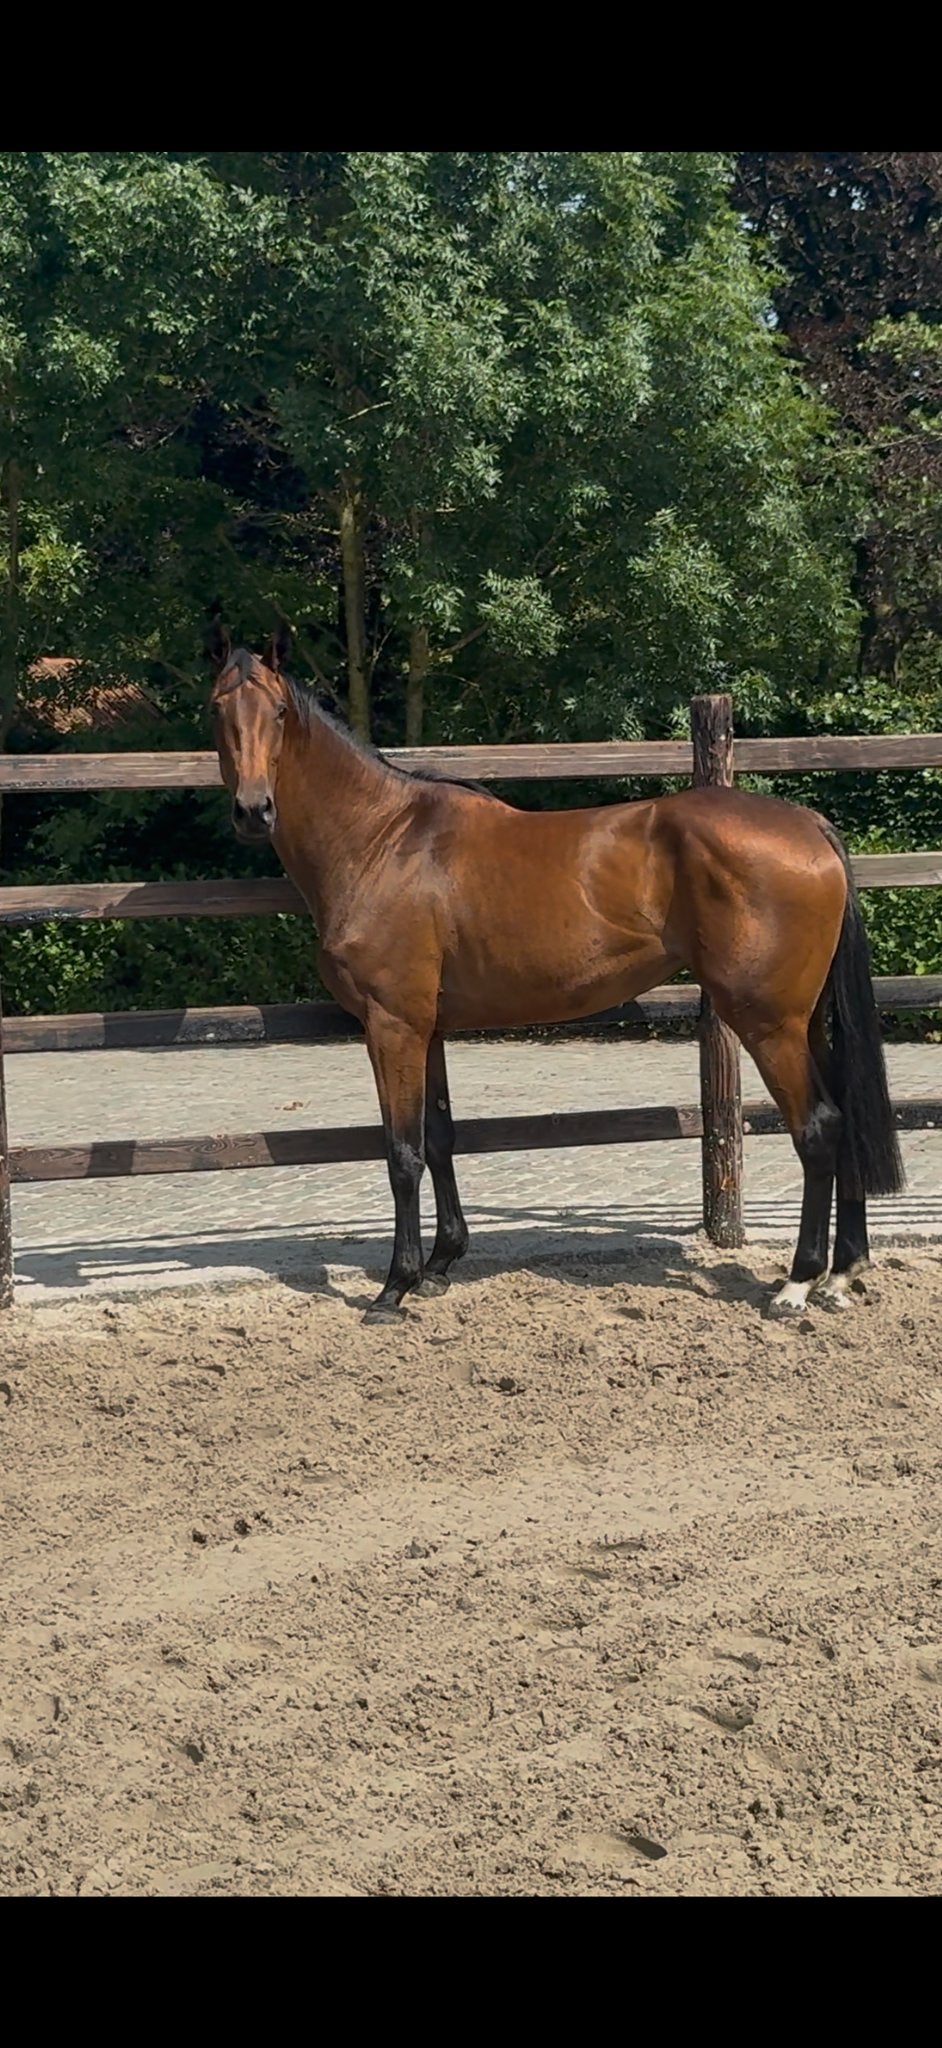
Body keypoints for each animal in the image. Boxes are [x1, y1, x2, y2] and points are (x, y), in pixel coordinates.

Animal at [208, 630, 903, 1323]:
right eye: (218, 710)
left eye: (278, 713)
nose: (253, 811)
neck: (382, 841)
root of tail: (808, 824)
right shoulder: (429, 1029)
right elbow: (440, 1139)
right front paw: (440, 1265)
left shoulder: (392, 1026)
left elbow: (402, 1153)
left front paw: (394, 1288)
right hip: (805, 1022)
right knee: (844, 1121)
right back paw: (843, 1273)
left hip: (768, 1024)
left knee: (819, 1128)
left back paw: (798, 1283)